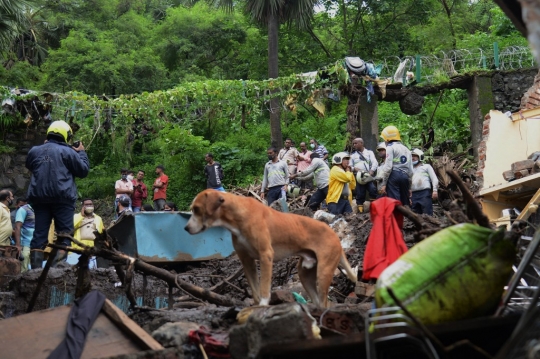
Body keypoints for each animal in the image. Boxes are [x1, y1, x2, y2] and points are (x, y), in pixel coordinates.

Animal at [184, 190, 356, 308]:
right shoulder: (246, 261)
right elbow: (254, 290)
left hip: (323, 273)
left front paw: (264, 305)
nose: (185, 228)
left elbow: (264, 287)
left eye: (197, 209)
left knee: (325, 302)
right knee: (318, 302)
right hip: (305, 274)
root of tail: (335, 236)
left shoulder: (266, 256)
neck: (237, 216)